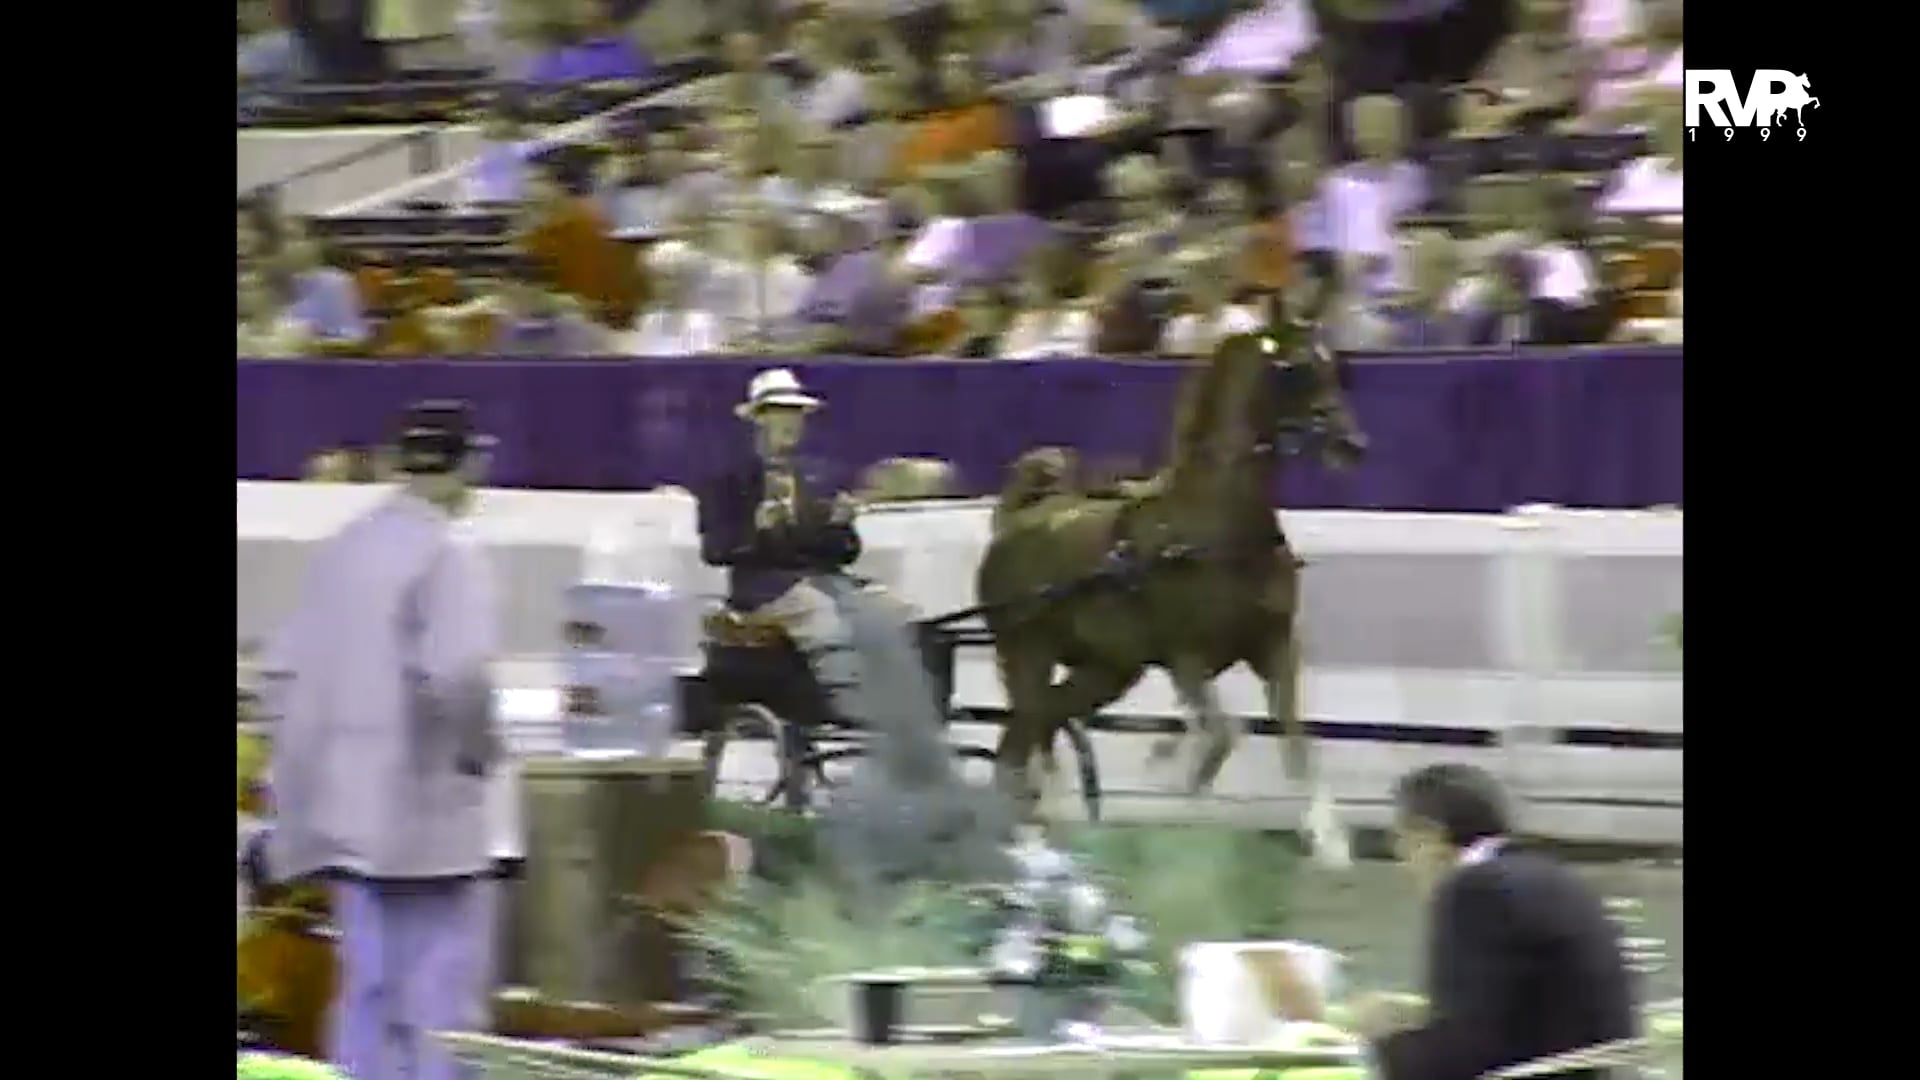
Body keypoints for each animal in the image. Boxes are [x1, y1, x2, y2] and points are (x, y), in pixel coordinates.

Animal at [976, 331, 1366, 862]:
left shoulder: (1274, 645)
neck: (1215, 527)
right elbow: (1222, 735)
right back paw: (1029, 827)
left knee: (1039, 726)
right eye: (1299, 367)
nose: (1353, 445)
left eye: (1333, 366)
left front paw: (1329, 842)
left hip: (1107, 670)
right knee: (1024, 733)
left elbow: (1296, 742)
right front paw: (1177, 790)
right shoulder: (1187, 657)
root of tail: (1015, 520)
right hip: (1026, 655)